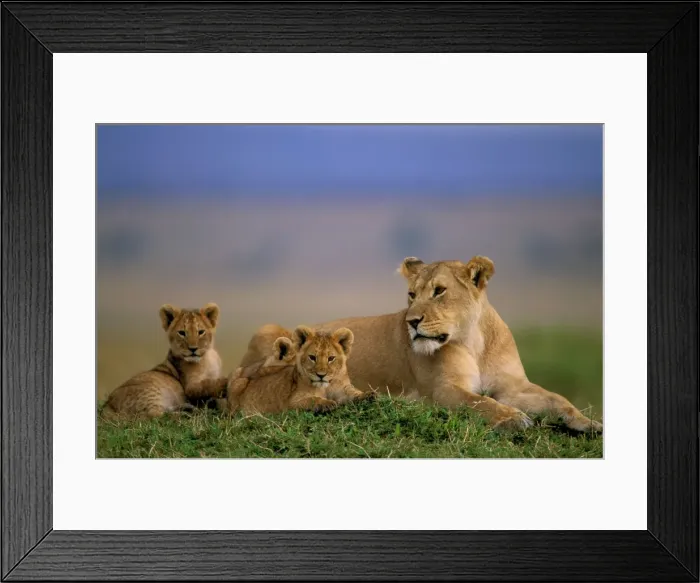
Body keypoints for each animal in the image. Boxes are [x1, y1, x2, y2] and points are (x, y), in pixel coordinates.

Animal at [227, 325, 370, 415]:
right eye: (312, 357)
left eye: (331, 358)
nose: (321, 375)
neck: (326, 387)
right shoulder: (292, 402)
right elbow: (313, 399)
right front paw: (326, 403)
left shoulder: (342, 389)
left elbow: (353, 392)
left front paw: (367, 395)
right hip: (239, 385)